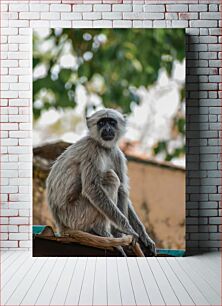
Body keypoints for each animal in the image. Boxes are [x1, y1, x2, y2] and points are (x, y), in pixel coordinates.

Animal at [45, 108, 155, 256]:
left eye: (111, 122)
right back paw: (103, 232)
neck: (104, 148)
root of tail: (61, 226)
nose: (107, 129)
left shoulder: (117, 153)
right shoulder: (91, 149)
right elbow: (92, 188)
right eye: (102, 123)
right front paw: (128, 230)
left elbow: (123, 189)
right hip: (76, 215)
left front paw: (144, 237)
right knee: (110, 178)